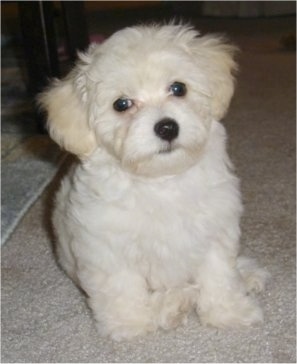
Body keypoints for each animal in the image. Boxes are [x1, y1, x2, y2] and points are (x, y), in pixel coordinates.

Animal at [38, 23, 268, 342]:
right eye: (121, 104)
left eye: (178, 88)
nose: (167, 127)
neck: (162, 181)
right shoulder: (106, 243)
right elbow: (121, 285)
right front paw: (129, 324)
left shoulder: (215, 228)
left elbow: (219, 274)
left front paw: (230, 312)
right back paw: (173, 303)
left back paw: (245, 275)